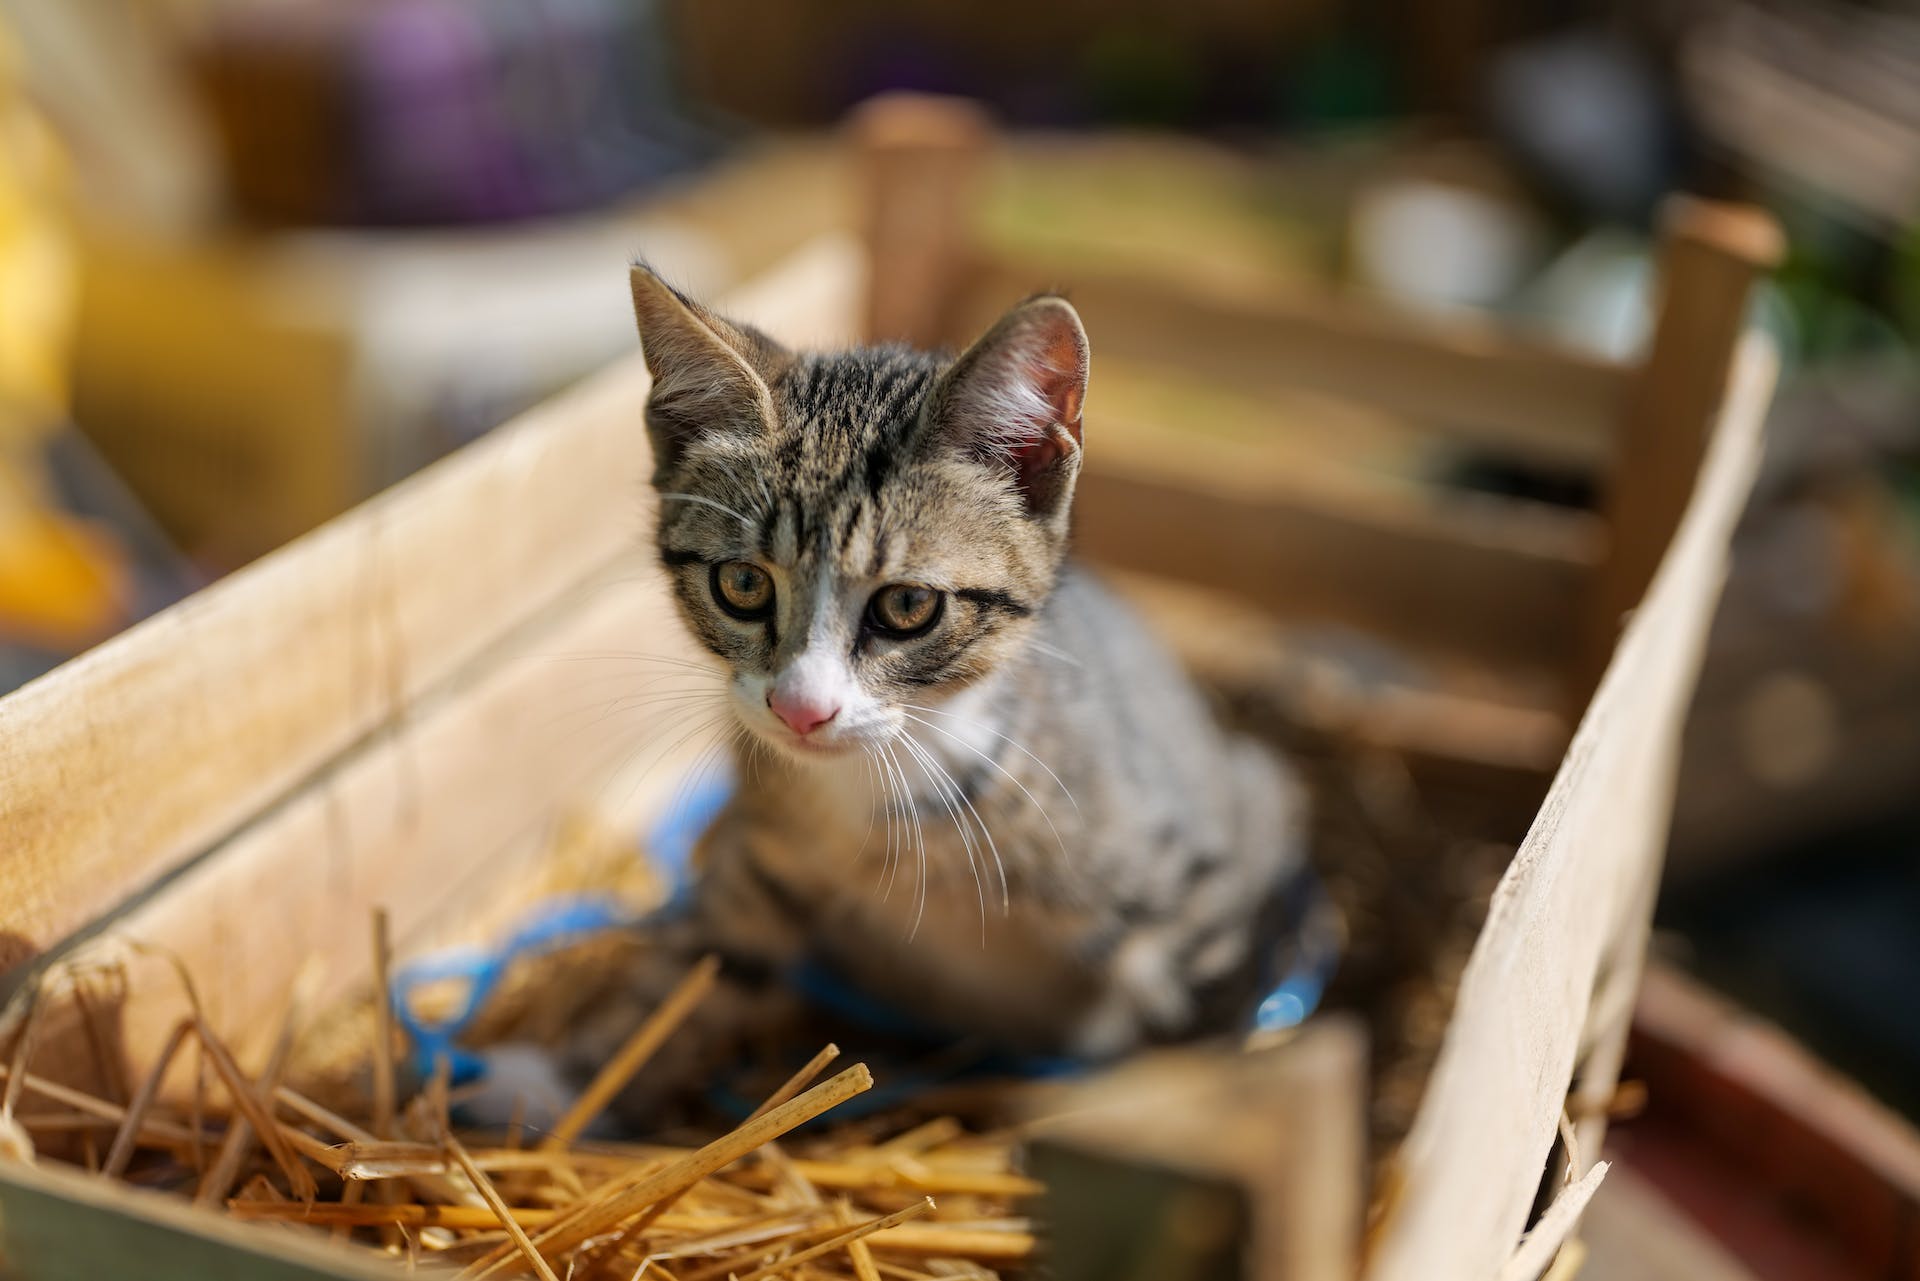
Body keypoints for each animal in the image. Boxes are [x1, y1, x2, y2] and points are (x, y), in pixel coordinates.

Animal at [560, 268, 1313, 1121]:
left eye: (908, 605)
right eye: (743, 584)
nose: (801, 708)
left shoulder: (1193, 885)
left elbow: (1207, 1013)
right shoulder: (763, 858)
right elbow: (701, 965)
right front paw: (561, 1084)